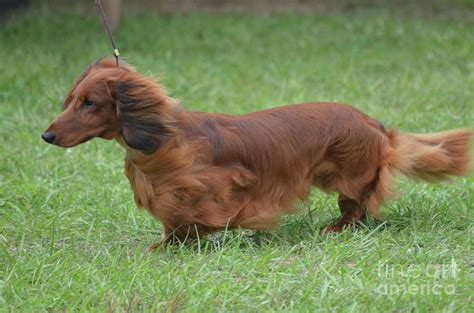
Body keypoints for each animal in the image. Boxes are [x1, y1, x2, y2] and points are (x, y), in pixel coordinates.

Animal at [42, 58, 472, 249]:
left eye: (89, 103)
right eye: (71, 99)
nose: (46, 135)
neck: (163, 141)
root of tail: (377, 127)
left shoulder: (219, 184)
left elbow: (198, 217)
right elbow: (172, 223)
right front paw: (166, 243)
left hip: (347, 175)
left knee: (359, 205)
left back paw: (336, 229)